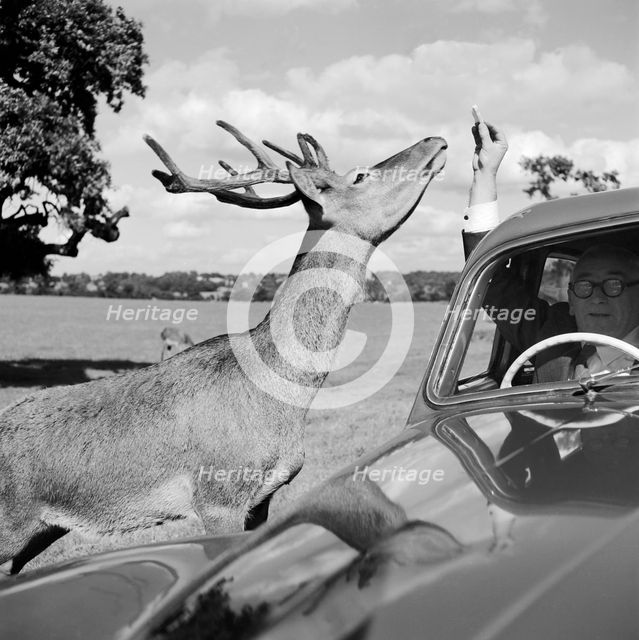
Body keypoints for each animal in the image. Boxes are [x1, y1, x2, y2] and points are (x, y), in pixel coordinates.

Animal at [0, 120, 446, 576]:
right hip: (10, 524)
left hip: (40, 531)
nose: (434, 140)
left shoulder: (263, 498)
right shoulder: (218, 494)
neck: (281, 402)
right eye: (360, 175)